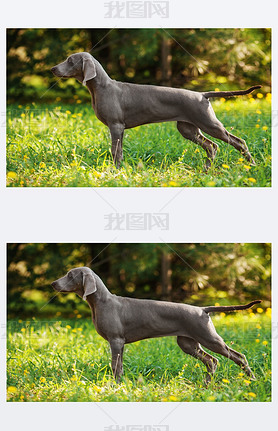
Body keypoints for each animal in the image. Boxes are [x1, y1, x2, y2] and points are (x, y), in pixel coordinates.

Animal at [51, 52, 262, 169]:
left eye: (70, 60)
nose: (53, 68)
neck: (101, 88)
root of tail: (202, 94)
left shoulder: (116, 126)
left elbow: (115, 151)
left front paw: (115, 171)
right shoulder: (119, 128)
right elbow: (119, 151)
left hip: (209, 123)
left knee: (239, 142)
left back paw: (251, 165)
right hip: (188, 128)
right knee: (212, 146)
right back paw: (207, 169)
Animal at [51, 266, 260, 384]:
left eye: (69, 275)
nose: (53, 283)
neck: (100, 302)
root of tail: (202, 309)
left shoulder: (116, 341)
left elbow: (115, 366)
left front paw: (115, 386)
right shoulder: (120, 343)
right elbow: (120, 366)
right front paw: (120, 385)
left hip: (209, 338)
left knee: (238, 356)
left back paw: (252, 379)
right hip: (188, 343)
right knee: (212, 361)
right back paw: (207, 384)